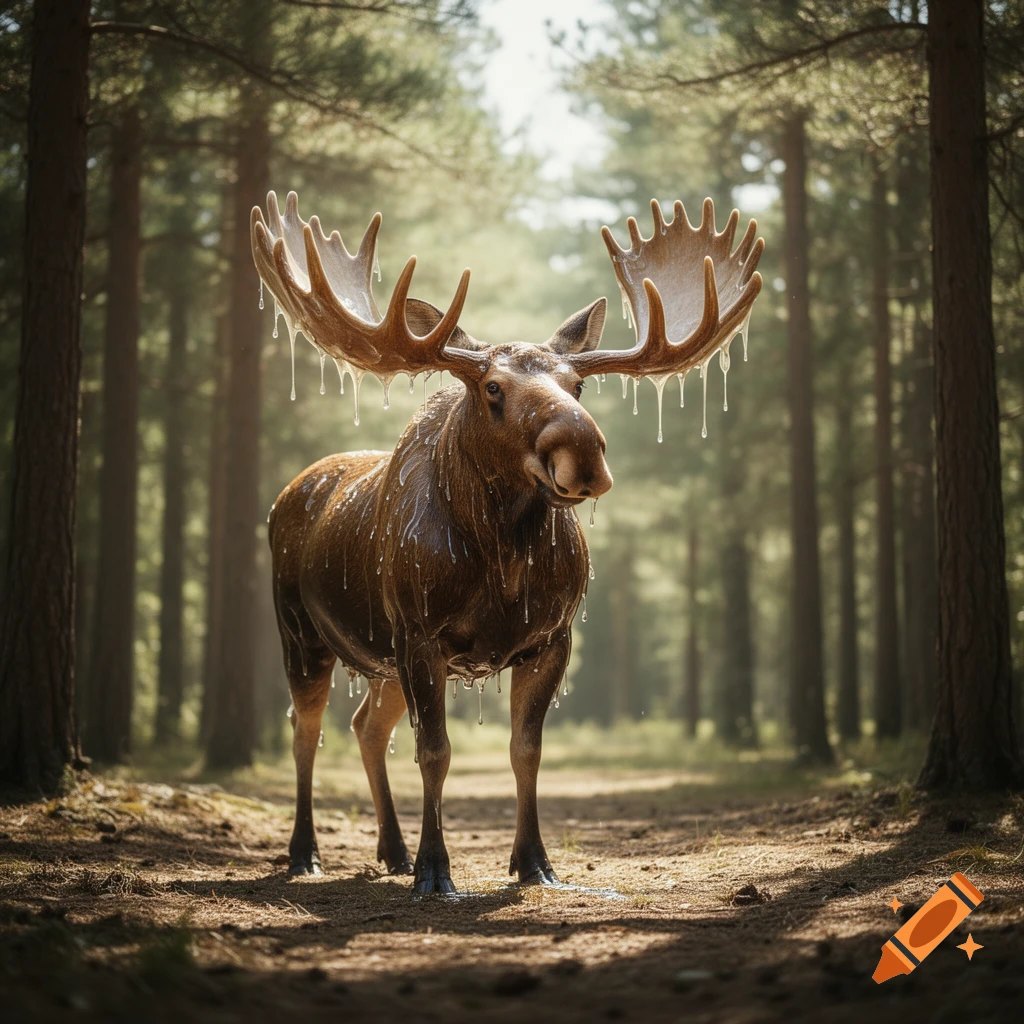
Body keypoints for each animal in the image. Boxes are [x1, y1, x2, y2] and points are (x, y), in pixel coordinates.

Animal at [251, 190, 764, 893]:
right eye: (492, 387)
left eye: (578, 385)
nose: (584, 453)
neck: (503, 559)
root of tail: (282, 498)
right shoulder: (420, 634)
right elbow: (435, 751)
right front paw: (436, 872)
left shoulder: (551, 637)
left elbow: (527, 750)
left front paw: (533, 862)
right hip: (300, 630)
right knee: (305, 731)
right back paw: (306, 853)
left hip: (379, 657)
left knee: (365, 727)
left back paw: (391, 851)